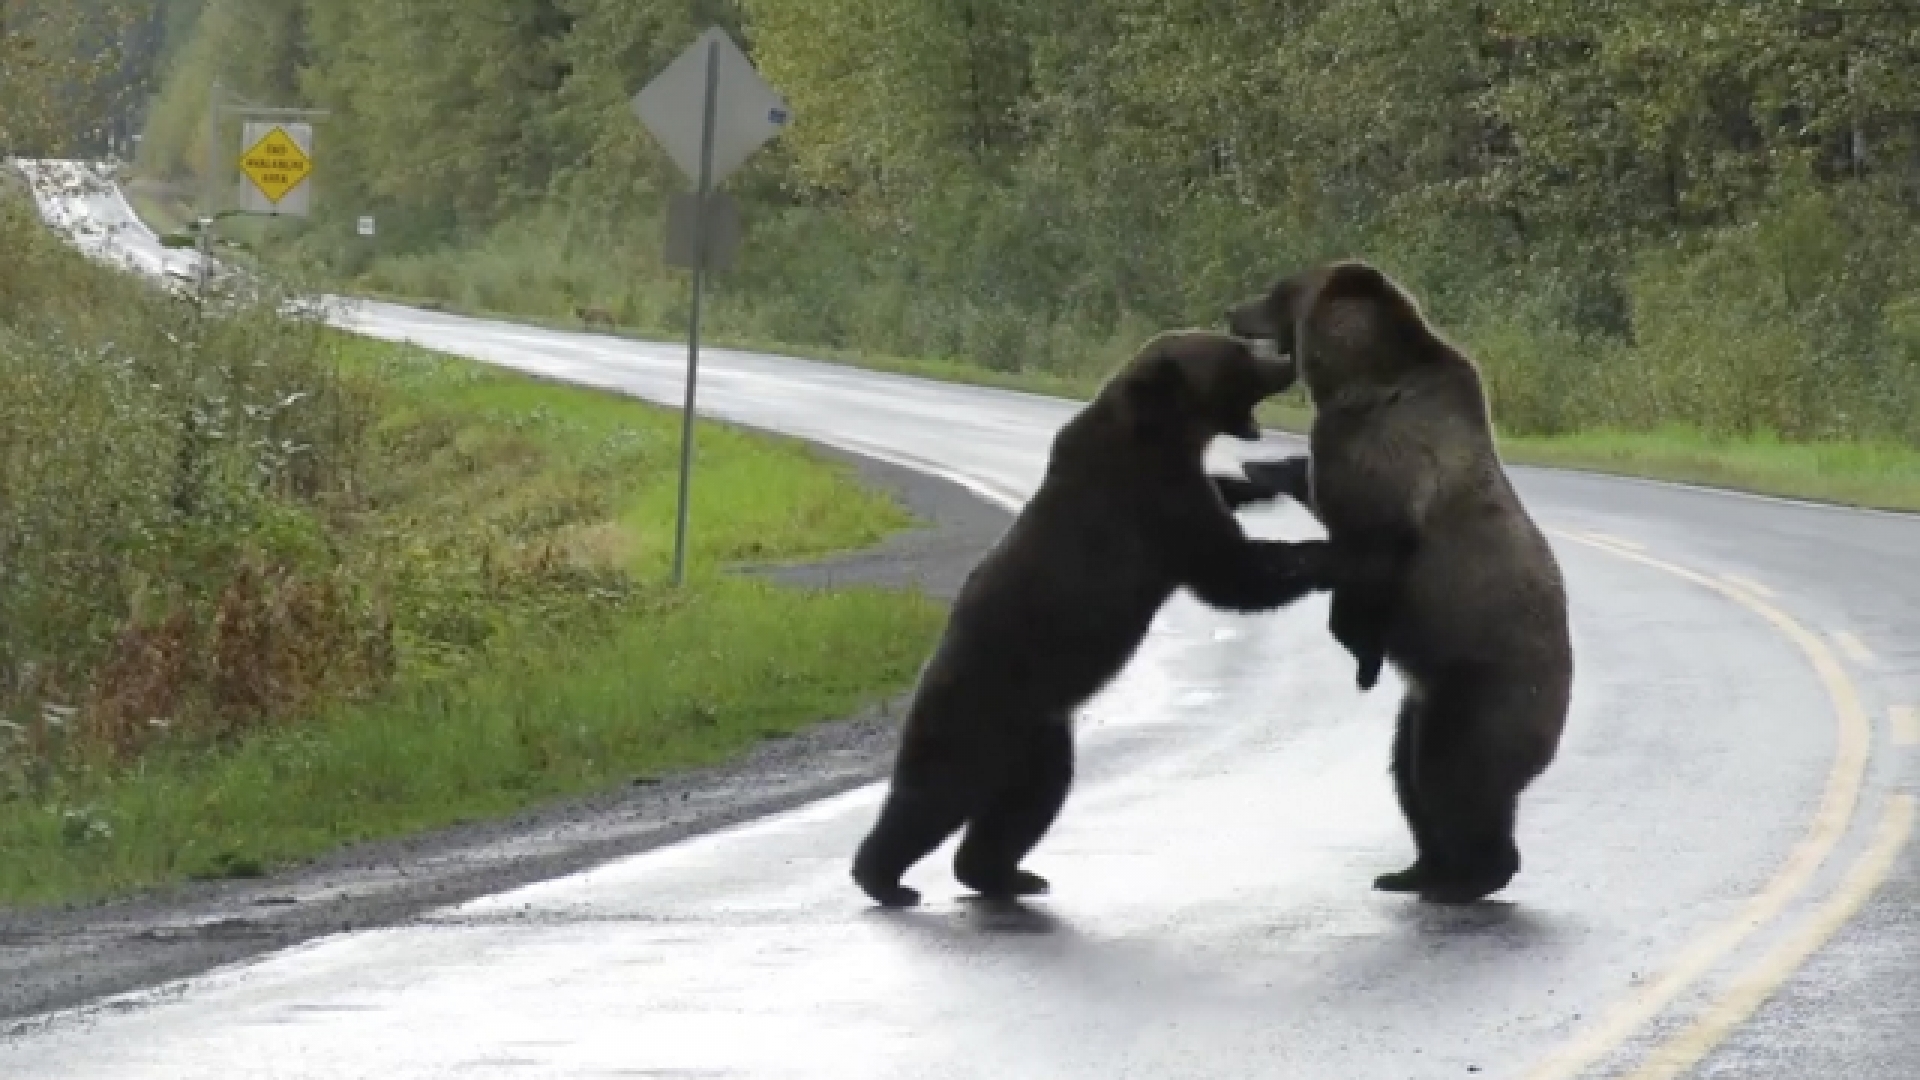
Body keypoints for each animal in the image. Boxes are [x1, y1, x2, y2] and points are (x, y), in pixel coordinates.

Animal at [850, 330, 1349, 908]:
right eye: (1238, 351)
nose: (1286, 358)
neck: (1160, 433)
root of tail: (929, 676)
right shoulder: (1152, 504)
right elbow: (1233, 572)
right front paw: (1326, 554)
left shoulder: (1171, 487)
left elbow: (1224, 519)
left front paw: (1252, 486)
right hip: (975, 713)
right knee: (937, 793)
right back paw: (885, 879)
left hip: (1040, 739)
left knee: (1027, 804)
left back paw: (1004, 875)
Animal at [1221, 259, 1574, 904]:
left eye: (1279, 290)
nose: (1233, 310)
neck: (1353, 382)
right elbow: (1314, 490)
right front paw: (1260, 470)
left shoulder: (1381, 459)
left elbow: (1371, 550)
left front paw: (1357, 650)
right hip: (1426, 699)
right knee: (1406, 772)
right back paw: (1414, 871)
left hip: (1483, 691)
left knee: (1448, 774)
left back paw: (1466, 877)